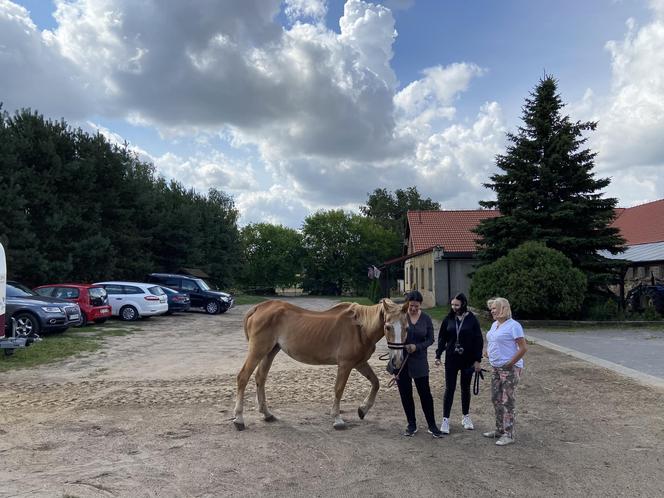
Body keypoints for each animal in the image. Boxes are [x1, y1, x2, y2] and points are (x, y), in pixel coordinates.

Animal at [233, 298, 410, 430]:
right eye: (388, 326)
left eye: (407, 327)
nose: (397, 360)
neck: (360, 328)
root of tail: (259, 307)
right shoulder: (345, 364)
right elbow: (339, 389)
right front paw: (337, 419)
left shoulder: (359, 363)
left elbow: (375, 382)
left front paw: (362, 409)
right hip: (258, 350)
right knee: (243, 377)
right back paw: (239, 419)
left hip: (270, 351)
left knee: (260, 378)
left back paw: (267, 414)